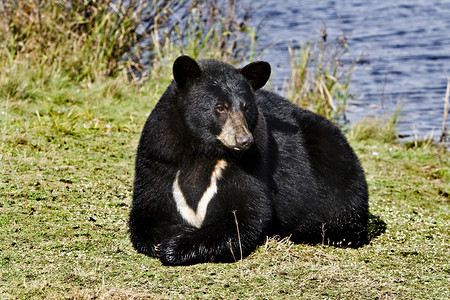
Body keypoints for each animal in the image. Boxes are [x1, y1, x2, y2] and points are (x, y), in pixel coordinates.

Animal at [128, 55, 368, 264]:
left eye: (245, 107)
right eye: (220, 107)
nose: (244, 140)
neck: (203, 149)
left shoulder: (251, 162)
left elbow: (245, 214)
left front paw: (177, 245)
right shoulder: (159, 157)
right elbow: (147, 212)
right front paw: (170, 235)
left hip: (335, 163)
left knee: (343, 211)